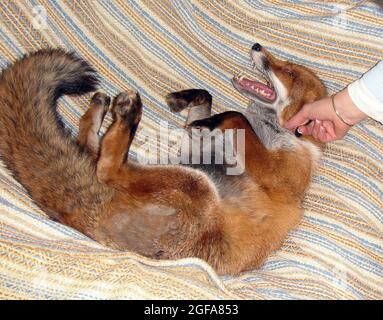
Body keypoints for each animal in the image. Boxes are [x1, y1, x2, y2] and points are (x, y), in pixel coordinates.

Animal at [0, 45, 328, 276]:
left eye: (289, 73)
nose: (257, 46)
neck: (281, 131)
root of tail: (94, 220)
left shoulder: (277, 171)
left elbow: (236, 115)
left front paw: (216, 117)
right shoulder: (199, 144)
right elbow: (208, 100)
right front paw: (187, 100)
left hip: (194, 183)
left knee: (108, 168)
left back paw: (127, 113)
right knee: (91, 150)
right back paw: (101, 109)